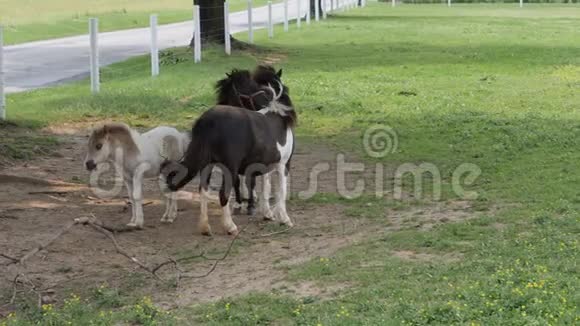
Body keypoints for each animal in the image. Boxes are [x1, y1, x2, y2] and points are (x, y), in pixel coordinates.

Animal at [162, 65, 296, 234]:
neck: (278, 115)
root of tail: (208, 121)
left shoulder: (266, 165)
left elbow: (265, 187)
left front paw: (267, 214)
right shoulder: (284, 164)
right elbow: (280, 192)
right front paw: (284, 219)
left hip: (206, 164)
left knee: (200, 190)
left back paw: (204, 227)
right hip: (229, 167)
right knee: (222, 194)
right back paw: (230, 226)